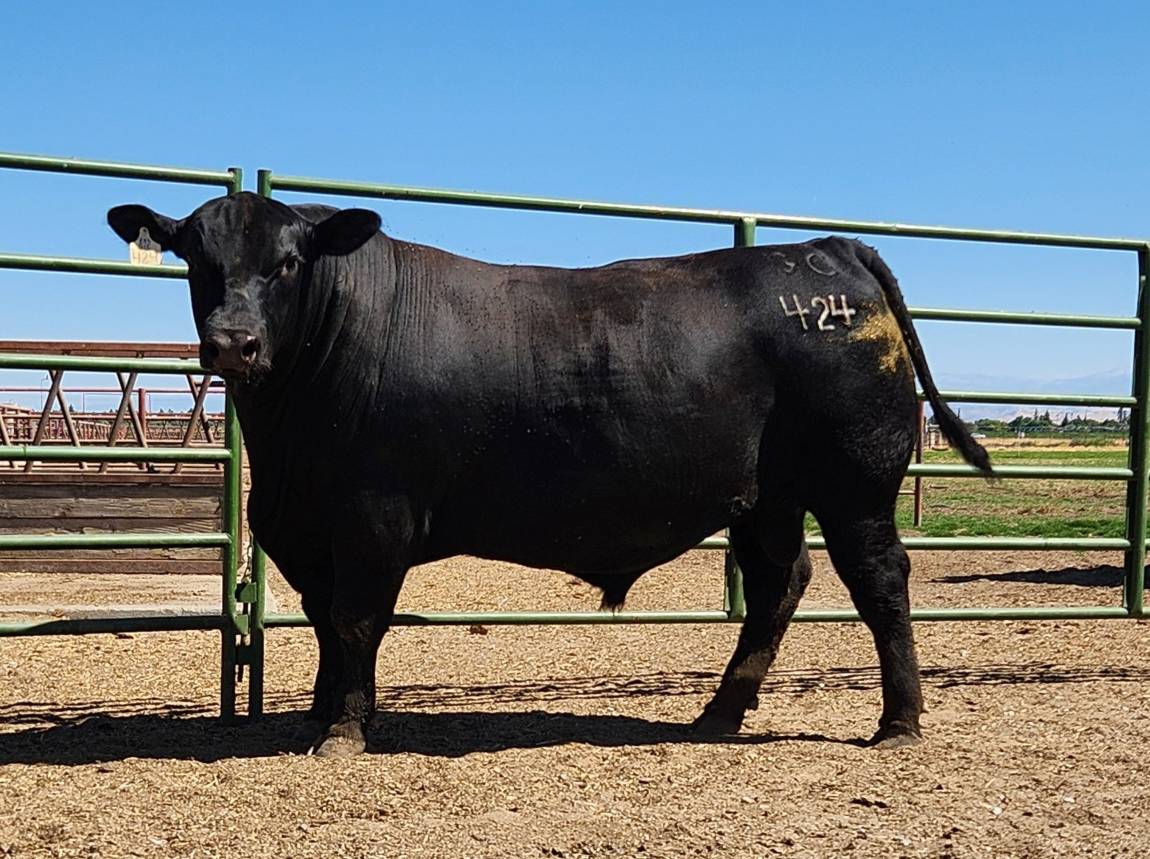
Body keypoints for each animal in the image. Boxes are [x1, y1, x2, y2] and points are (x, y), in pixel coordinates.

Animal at [108, 192, 992, 757]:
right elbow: (326, 623)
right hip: (764, 498)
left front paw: (346, 730)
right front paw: (323, 714)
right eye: (195, 260)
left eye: (291, 262)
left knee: (880, 582)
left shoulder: (372, 518)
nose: (234, 342)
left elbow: (356, 621)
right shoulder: (302, 528)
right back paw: (718, 714)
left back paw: (898, 721)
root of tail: (829, 249)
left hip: (856, 485)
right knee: (779, 584)